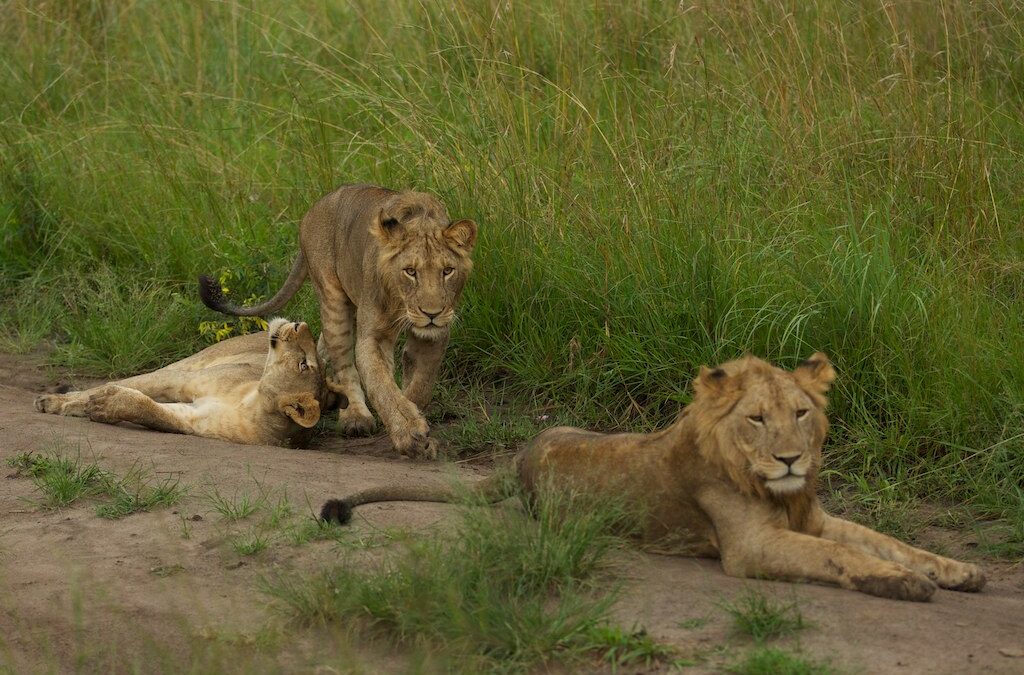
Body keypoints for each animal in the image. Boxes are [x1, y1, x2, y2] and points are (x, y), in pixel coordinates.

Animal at [35, 319, 334, 447]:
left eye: (304, 364)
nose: (299, 323)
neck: (251, 403)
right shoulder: (181, 381)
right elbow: (125, 386)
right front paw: (57, 402)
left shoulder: (192, 420)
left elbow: (151, 410)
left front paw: (104, 404)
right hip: (192, 362)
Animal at [199, 185, 477, 459]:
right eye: (410, 271)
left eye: (447, 271)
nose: (432, 313)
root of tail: (314, 208)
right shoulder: (372, 336)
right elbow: (381, 384)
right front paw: (408, 433)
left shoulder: (435, 334)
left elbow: (421, 384)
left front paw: (413, 415)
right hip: (334, 301)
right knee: (343, 362)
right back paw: (355, 417)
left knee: (322, 347)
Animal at [320, 353, 985, 602]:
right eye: (757, 418)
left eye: (801, 413)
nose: (791, 460)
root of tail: (522, 456)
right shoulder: (751, 545)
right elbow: (839, 557)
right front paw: (903, 583)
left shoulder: (814, 517)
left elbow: (888, 541)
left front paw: (958, 570)